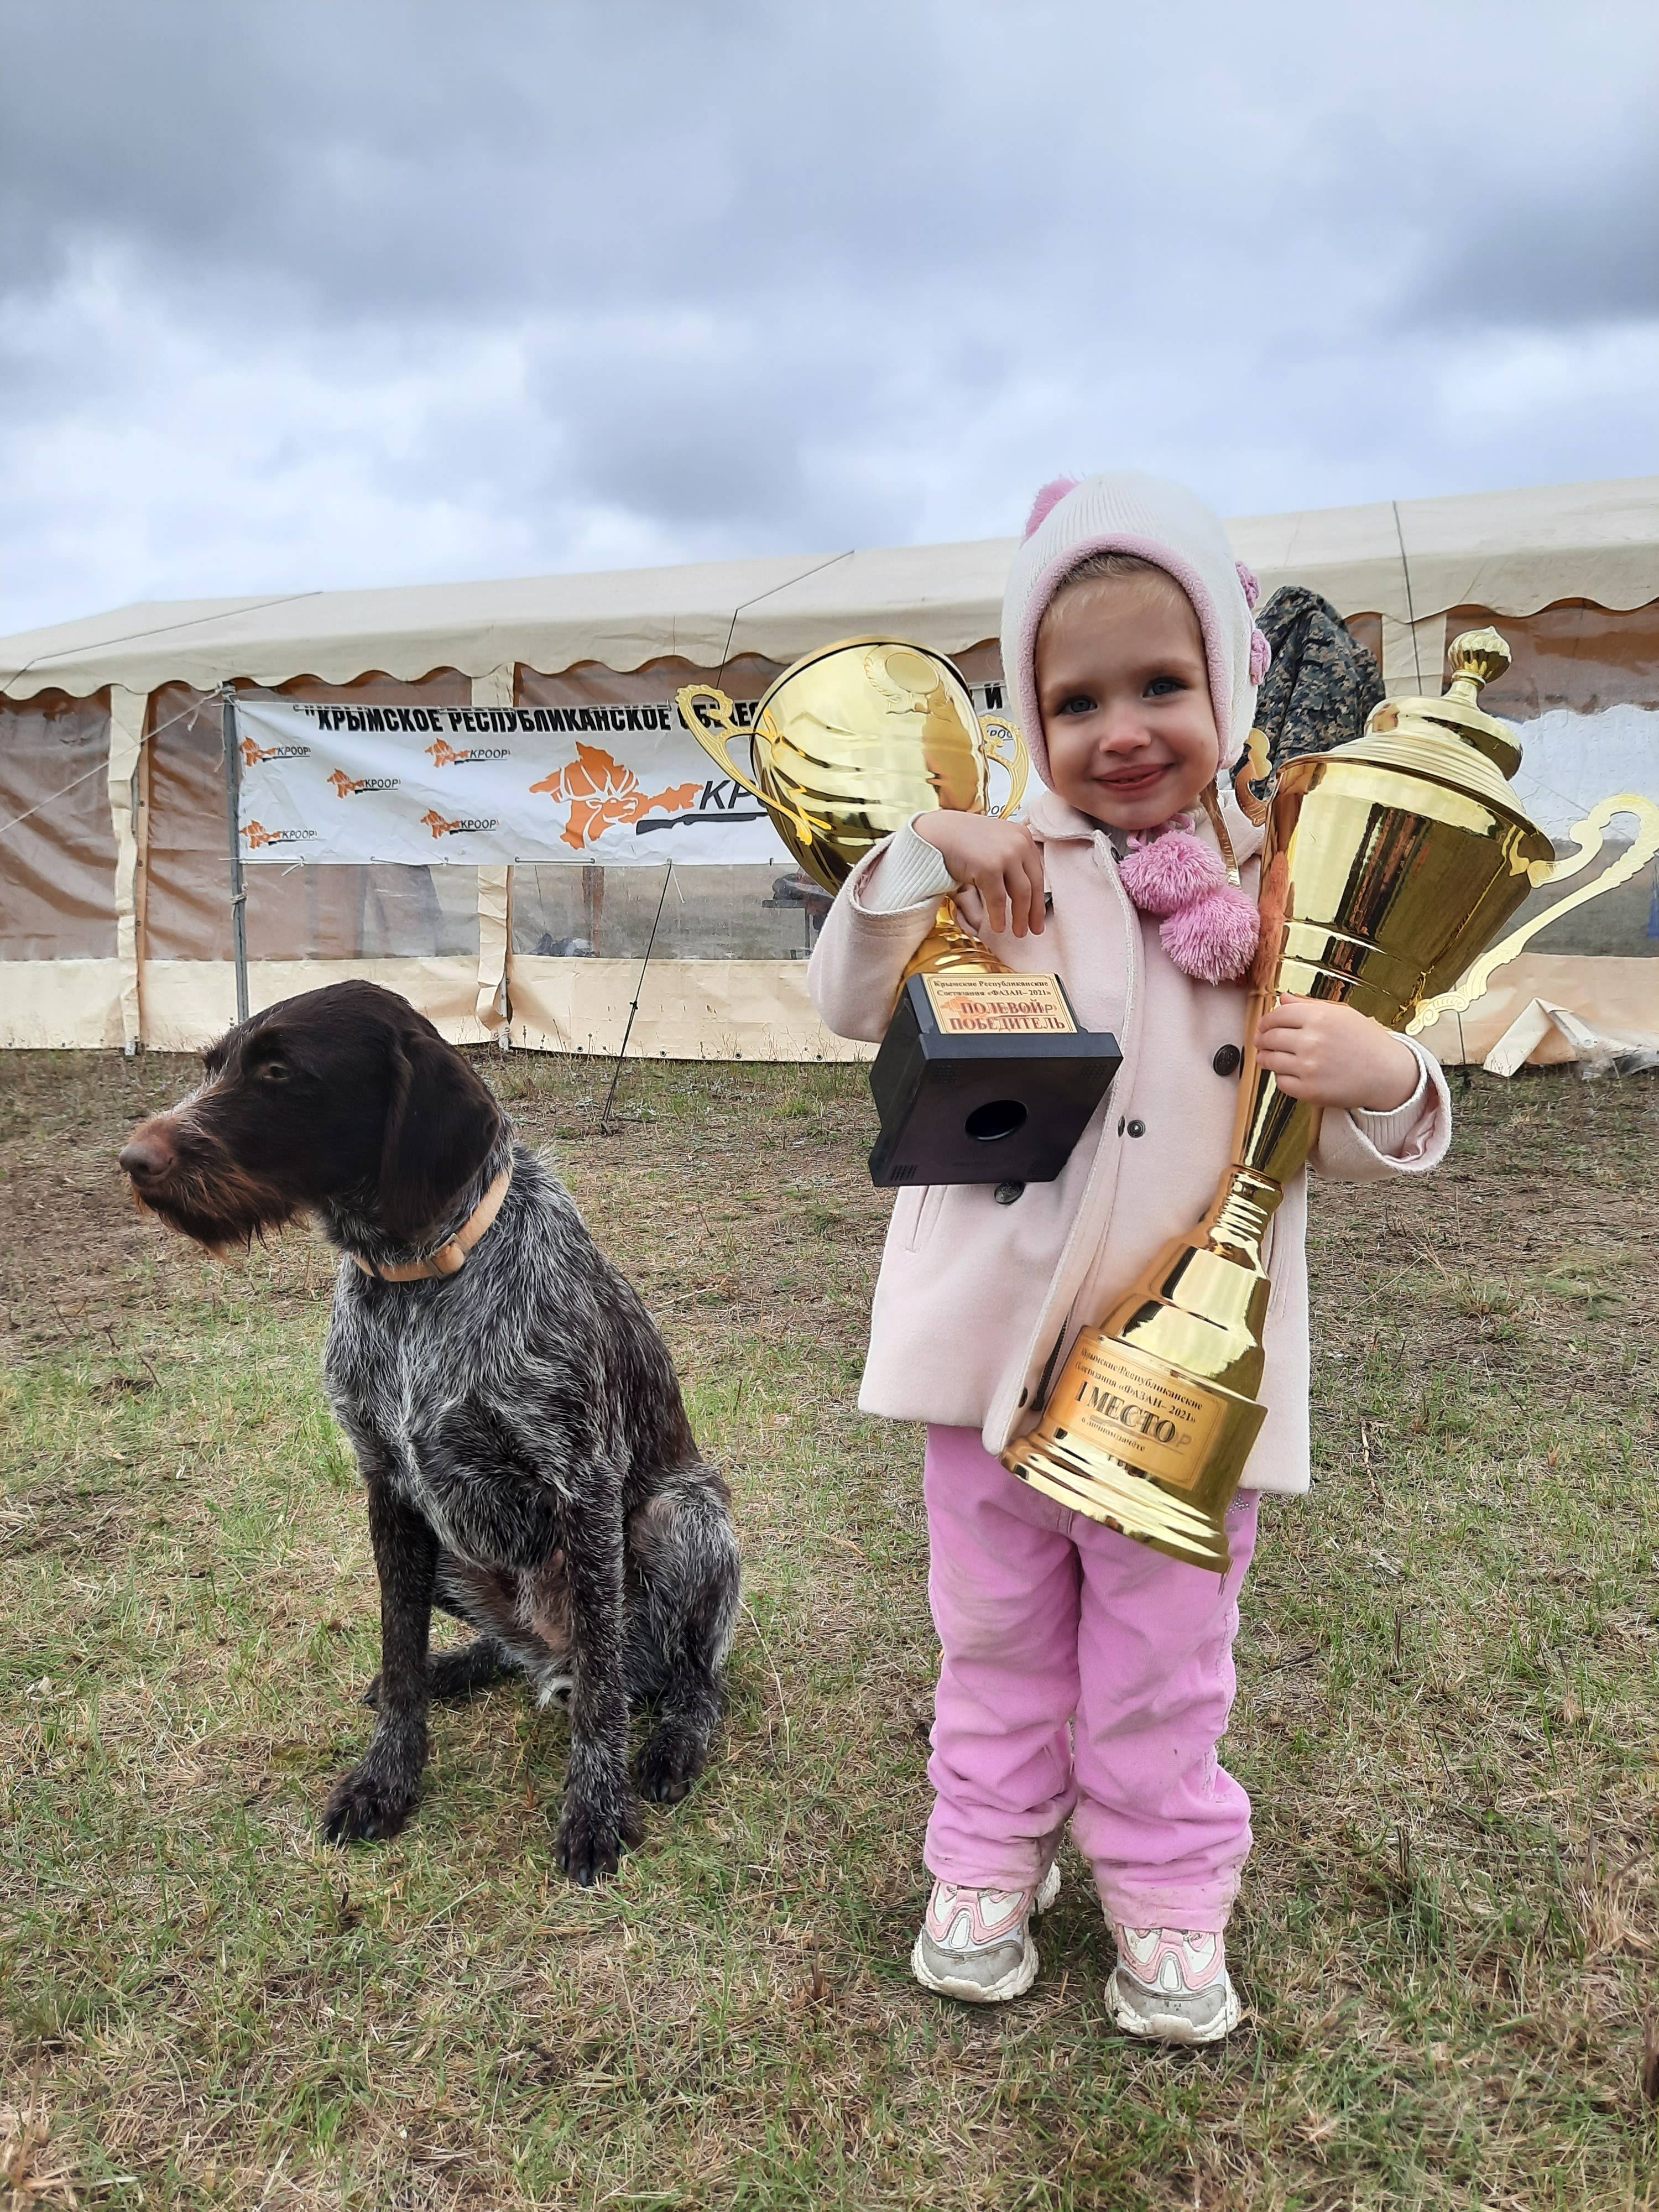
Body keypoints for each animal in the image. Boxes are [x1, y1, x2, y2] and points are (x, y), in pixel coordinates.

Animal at [119, 981, 740, 1884]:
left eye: (278, 1071)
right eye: (213, 1065)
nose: (133, 1159)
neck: (415, 1279)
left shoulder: (582, 1484)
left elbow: (602, 1697)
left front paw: (597, 1812)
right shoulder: (388, 1489)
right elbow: (399, 1649)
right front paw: (388, 1777)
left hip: (682, 1516)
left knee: (676, 1675)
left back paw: (671, 1743)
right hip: (452, 1552)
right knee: (517, 1654)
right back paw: (465, 1665)